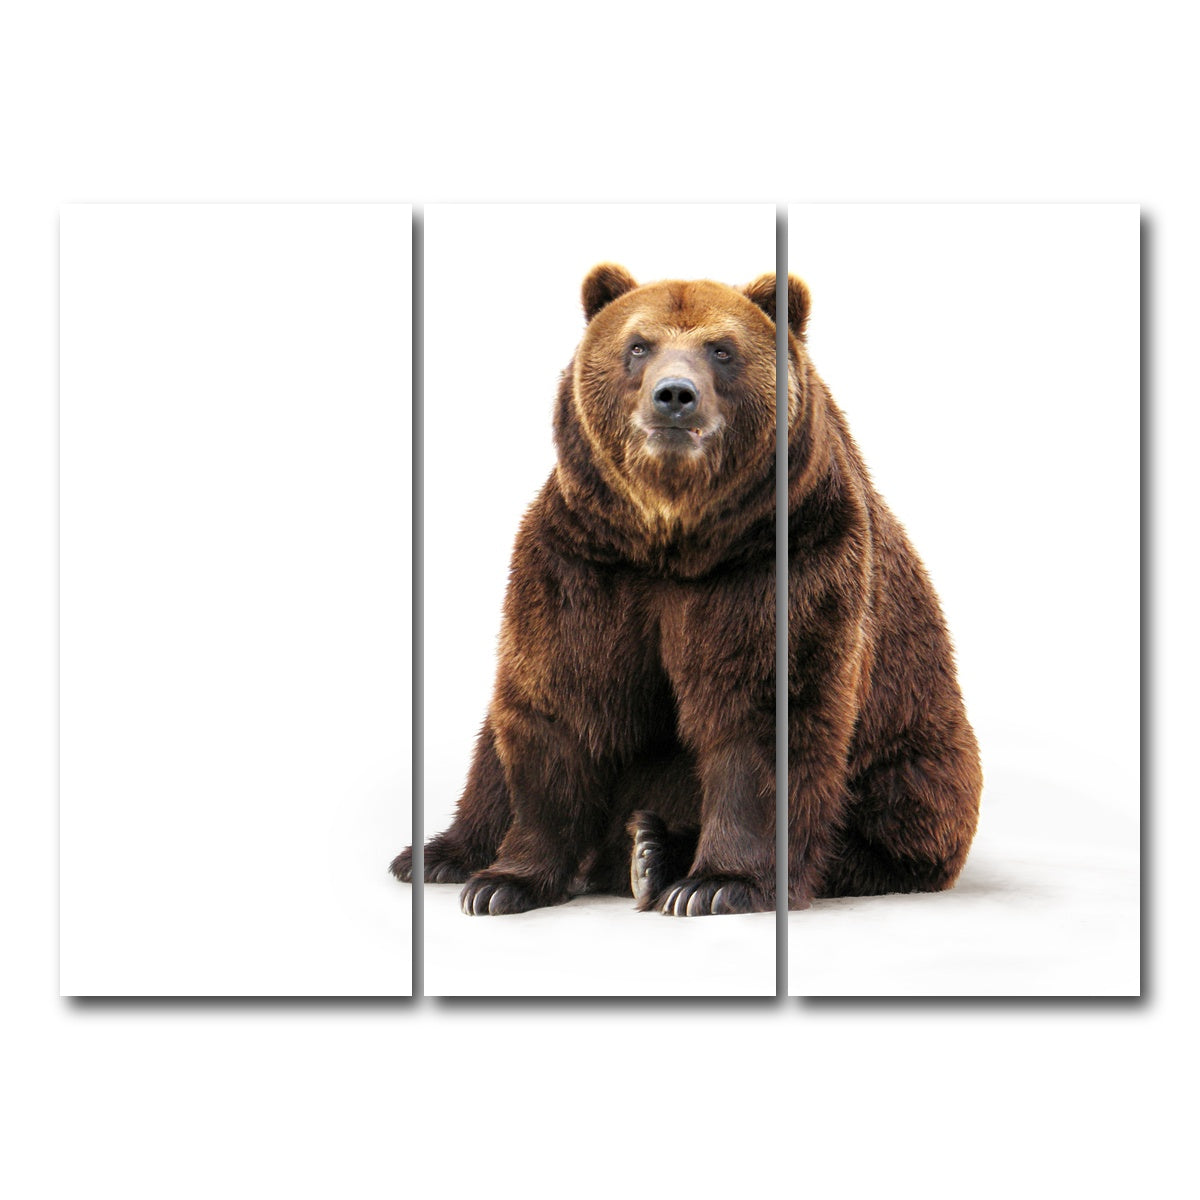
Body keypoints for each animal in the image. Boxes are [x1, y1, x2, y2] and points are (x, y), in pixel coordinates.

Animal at [392, 263, 782, 915]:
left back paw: (650, 855)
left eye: (722, 351)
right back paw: (437, 855)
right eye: (637, 347)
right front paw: (488, 872)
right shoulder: (565, 596)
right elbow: (540, 724)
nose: (674, 395)